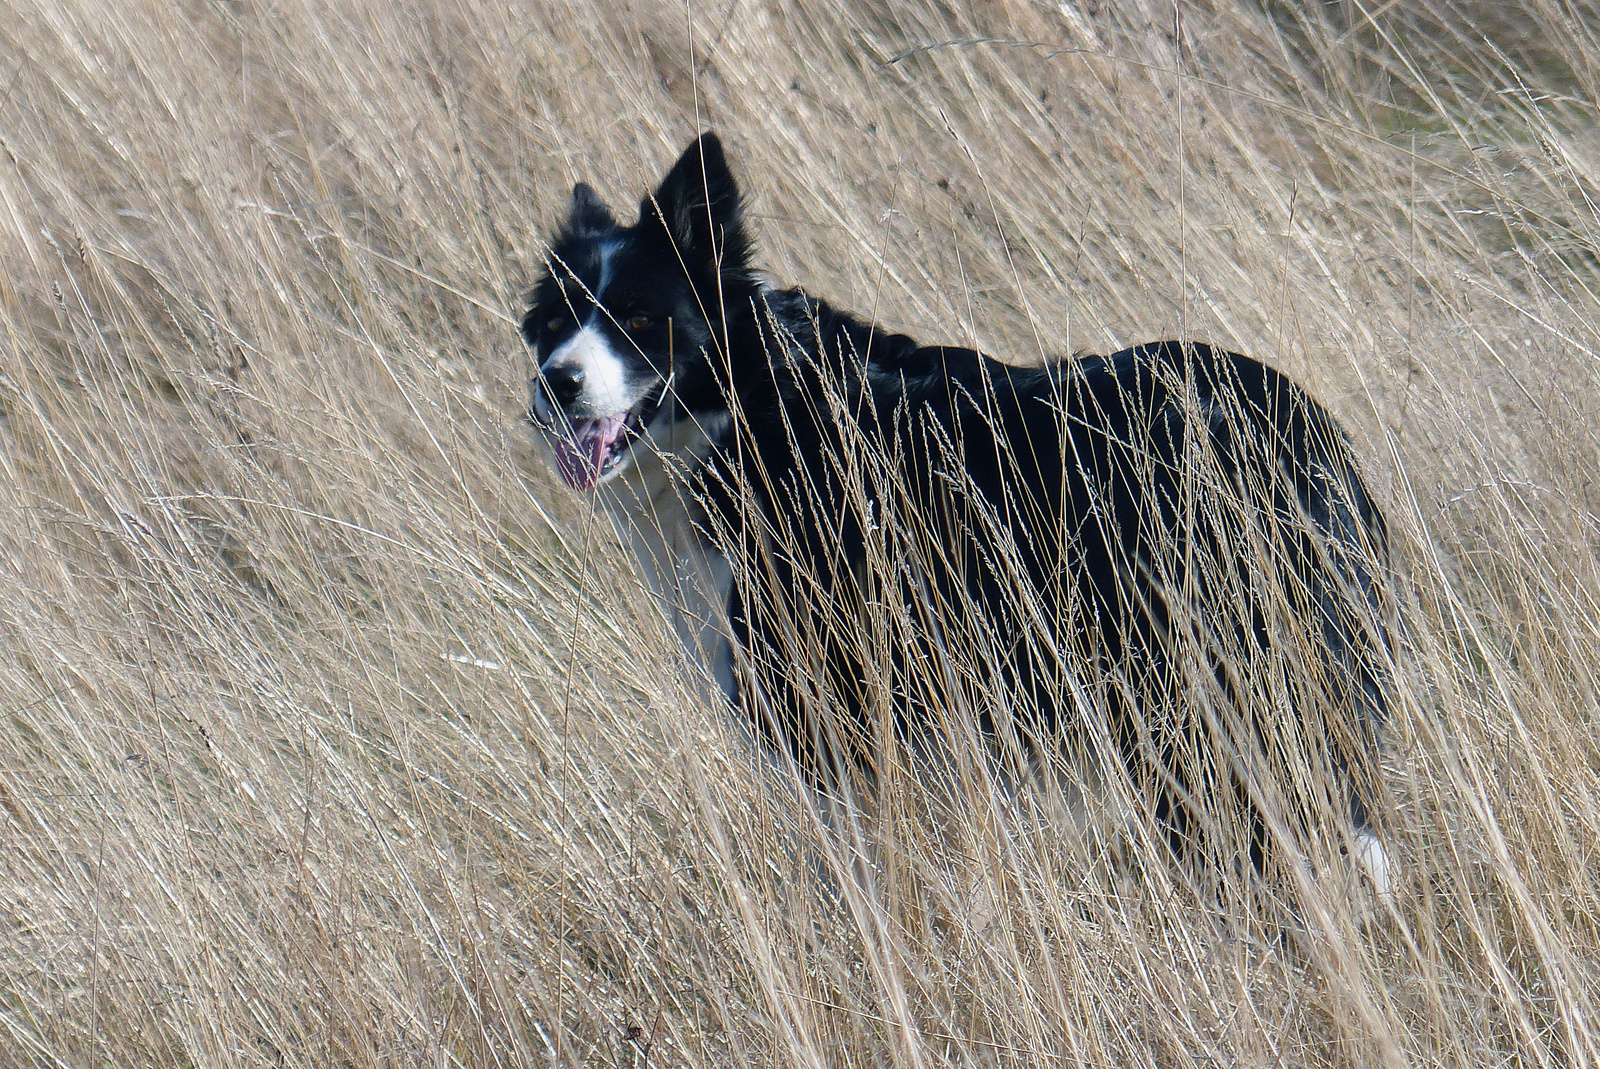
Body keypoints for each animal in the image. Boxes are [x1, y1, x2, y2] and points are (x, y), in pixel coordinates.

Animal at [521, 131, 1388, 883]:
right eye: (555, 322)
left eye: (640, 320)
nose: (555, 382)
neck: (754, 413)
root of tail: (1306, 424)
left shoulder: (842, 716)